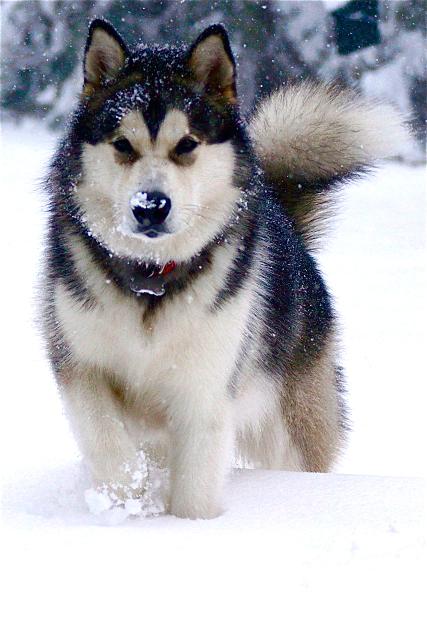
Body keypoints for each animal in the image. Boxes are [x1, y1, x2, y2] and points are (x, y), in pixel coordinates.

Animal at [41, 18, 410, 520]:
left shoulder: (206, 388)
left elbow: (196, 486)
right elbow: (105, 441)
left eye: (186, 145)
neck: (152, 282)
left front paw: (188, 527)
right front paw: (127, 501)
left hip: (289, 425)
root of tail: (283, 218)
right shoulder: (80, 362)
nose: (151, 206)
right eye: (122, 145)